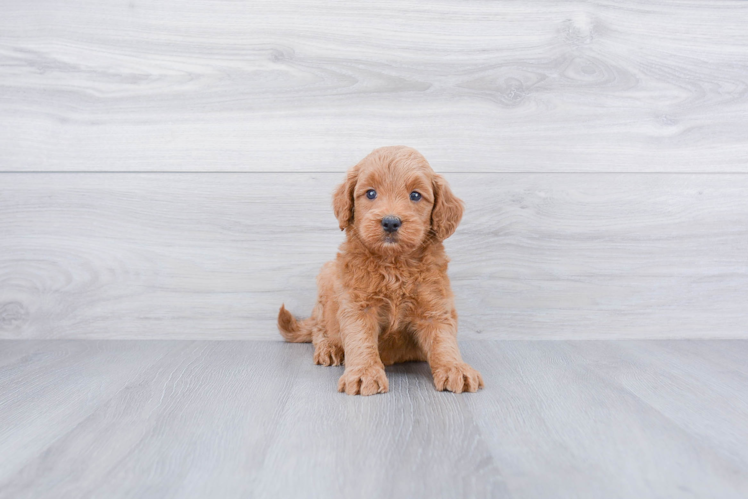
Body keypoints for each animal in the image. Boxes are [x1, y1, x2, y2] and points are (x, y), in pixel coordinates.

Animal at [278, 146, 482, 396]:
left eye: (415, 195)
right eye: (371, 193)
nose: (391, 222)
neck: (394, 265)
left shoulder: (434, 306)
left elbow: (443, 340)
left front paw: (455, 368)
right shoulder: (357, 305)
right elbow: (360, 340)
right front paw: (363, 373)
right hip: (326, 279)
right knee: (319, 327)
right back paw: (329, 347)